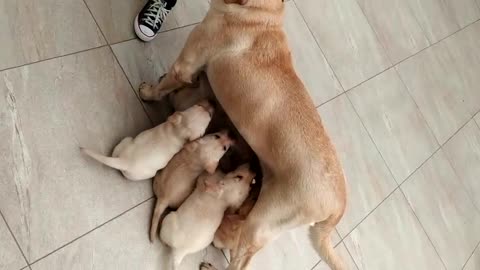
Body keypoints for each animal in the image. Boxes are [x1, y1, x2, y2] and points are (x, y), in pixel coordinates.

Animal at [81, 101, 214, 181]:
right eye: (209, 119)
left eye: (199, 106)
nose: (211, 104)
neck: (176, 132)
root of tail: (124, 161)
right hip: (148, 173)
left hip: (125, 141)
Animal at [138, 0, 344, 268]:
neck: (259, 12)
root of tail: (338, 205)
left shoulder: (185, 65)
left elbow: (164, 86)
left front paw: (148, 92)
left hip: (261, 223)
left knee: (241, 262)